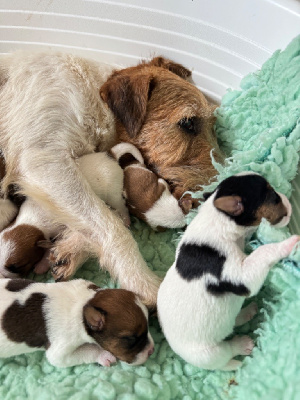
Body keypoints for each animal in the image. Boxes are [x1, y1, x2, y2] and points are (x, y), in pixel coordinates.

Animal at [0, 51, 220, 308]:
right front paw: (143, 282)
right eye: (188, 123)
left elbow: (96, 222)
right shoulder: (44, 161)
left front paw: (72, 248)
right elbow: (110, 225)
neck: (93, 98)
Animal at [0, 278, 155, 368]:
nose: (152, 350)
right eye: (131, 339)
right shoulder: (60, 351)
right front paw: (104, 355)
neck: (86, 301)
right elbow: (87, 351)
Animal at [157, 173, 298, 370]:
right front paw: (287, 244)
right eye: (273, 197)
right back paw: (240, 349)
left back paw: (247, 312)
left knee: (233, 322)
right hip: (210, 354)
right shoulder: (241, 276)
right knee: (226, 356)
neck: (218, 218)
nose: (287, 200)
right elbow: (263, 252)